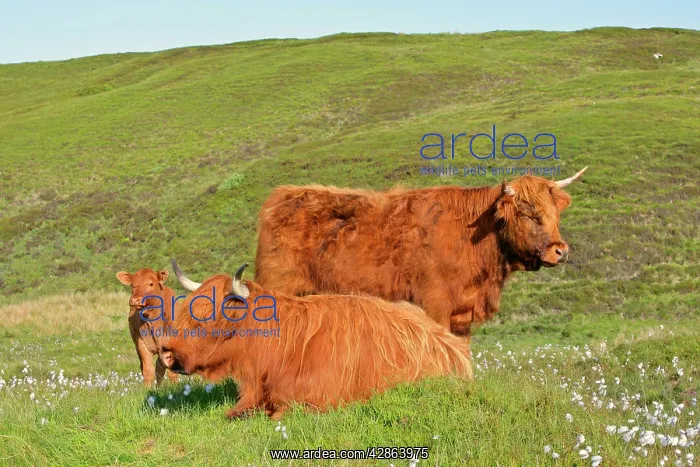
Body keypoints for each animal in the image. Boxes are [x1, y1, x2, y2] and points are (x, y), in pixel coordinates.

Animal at [254, 168, 587, 340]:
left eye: (555, 214)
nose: (560, 251)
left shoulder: (461, 314)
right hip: (276, 290)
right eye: (529, 214)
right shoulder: (435, 304)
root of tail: (283, 196)